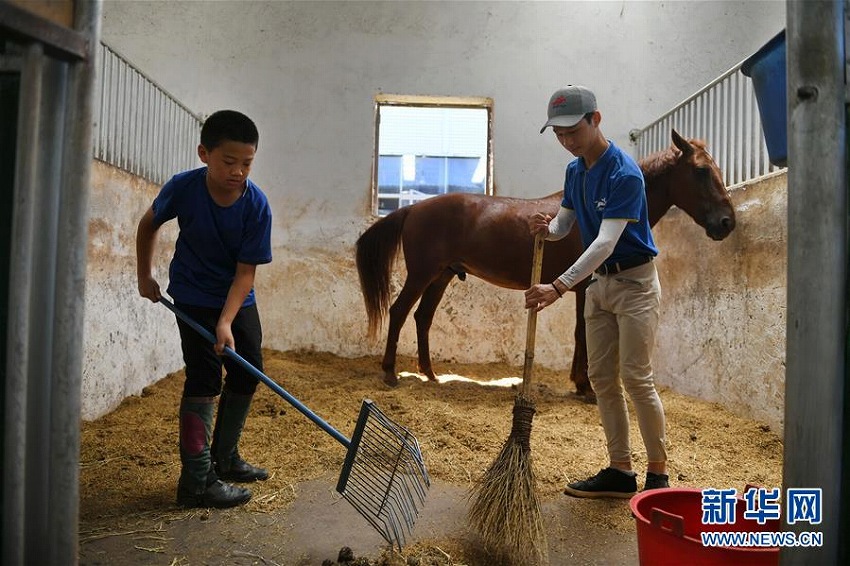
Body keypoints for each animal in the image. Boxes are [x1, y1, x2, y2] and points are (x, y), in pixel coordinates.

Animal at [354, 129, 732, 398]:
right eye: (701, 171)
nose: (727, 222)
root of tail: (413, 208)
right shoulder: (584, 285)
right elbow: (581, 333)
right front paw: (585, 387)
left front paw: (581, 383)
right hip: (423, 274)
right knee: (400, 311)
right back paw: (390, 373)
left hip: (442, 276)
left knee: (422, 317)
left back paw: (431, 376)